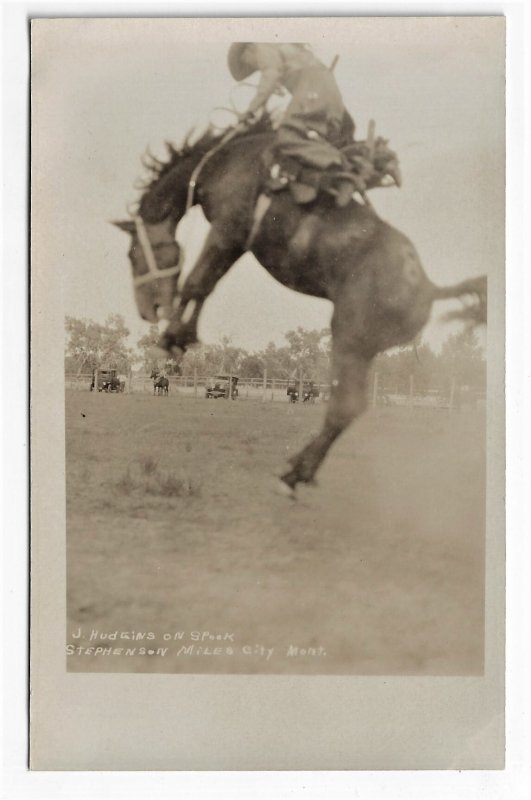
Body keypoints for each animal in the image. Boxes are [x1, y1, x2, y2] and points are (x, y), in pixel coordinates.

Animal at [114, 116, 488, 496]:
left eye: (132, 254)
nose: (147, 311)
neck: (227, 160)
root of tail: (429, 288)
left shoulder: (229, 231)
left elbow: (198, 281)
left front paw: (172, 339)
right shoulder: (233, 238)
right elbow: (204, 282)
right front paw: (179, 337)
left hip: (349, 337)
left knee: (345, 405)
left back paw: (293, 475)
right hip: (364, 348)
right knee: (348, 408)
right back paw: (298, 470)